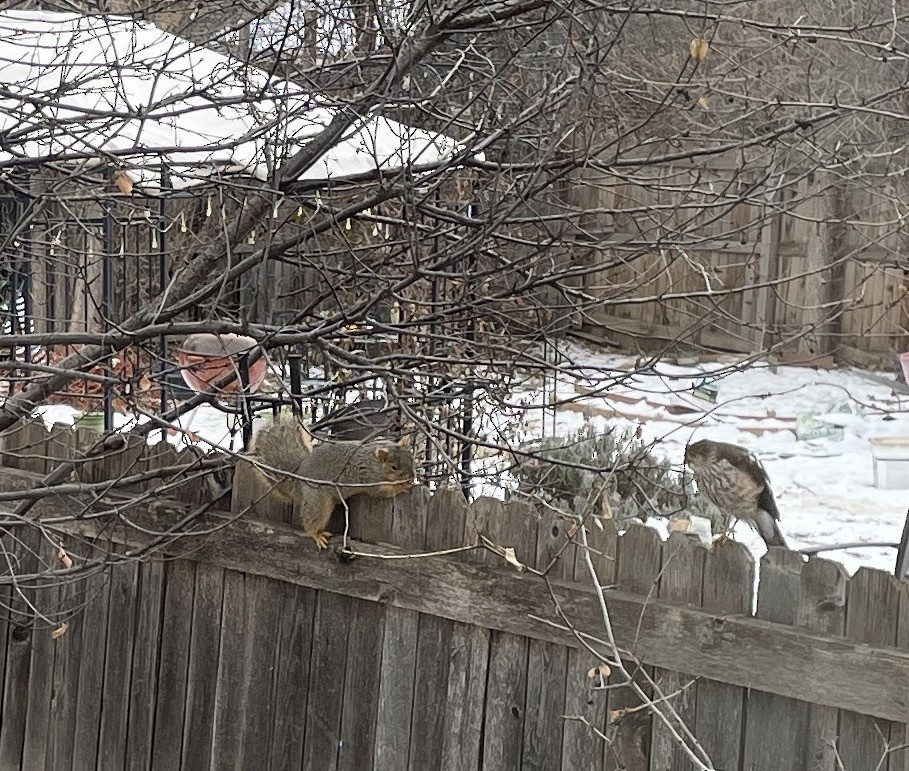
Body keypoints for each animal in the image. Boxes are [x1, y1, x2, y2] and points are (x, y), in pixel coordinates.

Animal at [250, 420, 416, 552]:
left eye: (411, 458)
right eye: (394, 467)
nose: (412, 477)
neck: (374, 462)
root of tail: (298, 477)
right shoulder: (369, 478)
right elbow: (382, 491)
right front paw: (402, 486)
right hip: (316, 501)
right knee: (312, 520)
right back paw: (316, 535)